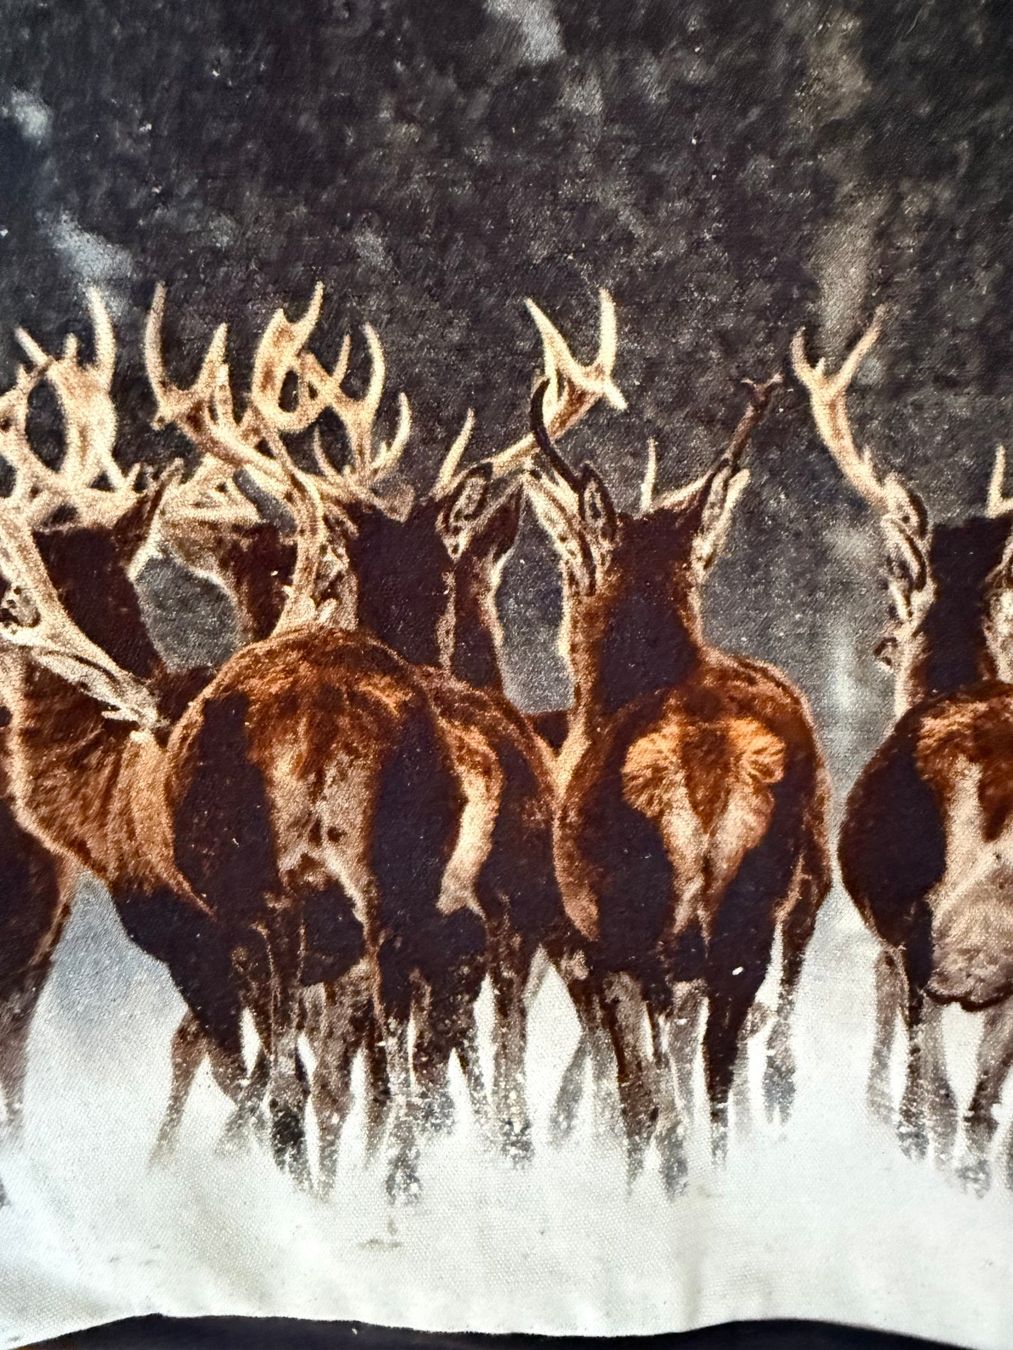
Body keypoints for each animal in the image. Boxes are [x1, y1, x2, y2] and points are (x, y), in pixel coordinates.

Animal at [143, 282, 627, 1167]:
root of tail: (315, 722)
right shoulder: (514, 914)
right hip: (416, 898)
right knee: (416, 1084)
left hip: (265, 902)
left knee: (289, 1085)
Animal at [523, 372, 832, 1186]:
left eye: (576, 563)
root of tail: (709, 755)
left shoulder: (598, 944)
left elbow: (632, 1082)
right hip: (755, 909)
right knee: (720, 1069)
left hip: (640, 915)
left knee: (656, 1088)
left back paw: (664, 1182)